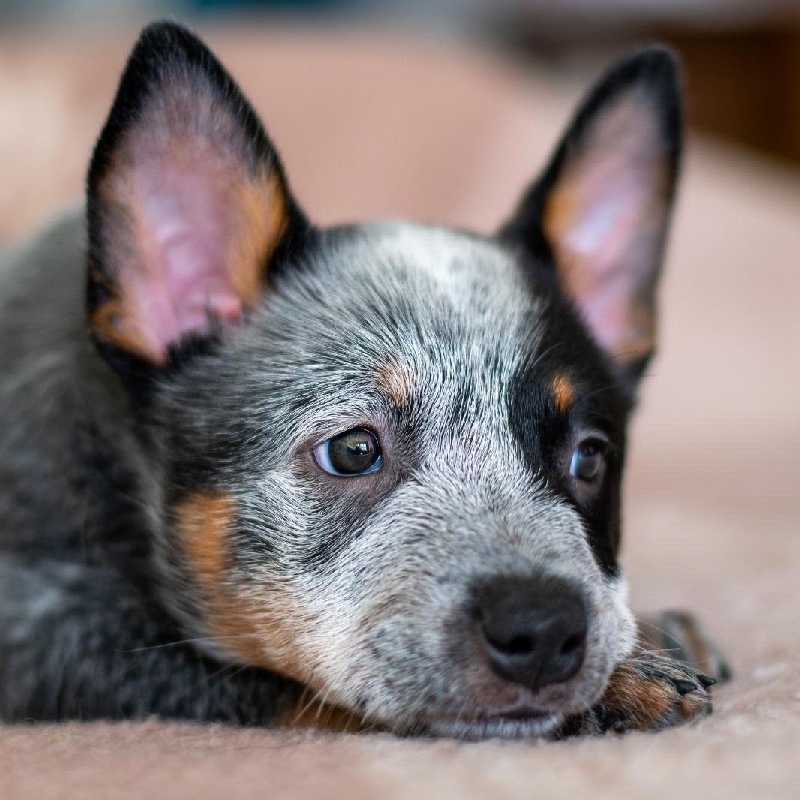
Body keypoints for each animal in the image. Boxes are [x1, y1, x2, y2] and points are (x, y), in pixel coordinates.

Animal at [0, 21, 724, 740]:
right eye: (352, 450)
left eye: (589, 457)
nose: (543, 630)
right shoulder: (42, 637)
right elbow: (252, 677)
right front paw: (623, 683)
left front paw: (647, 632)